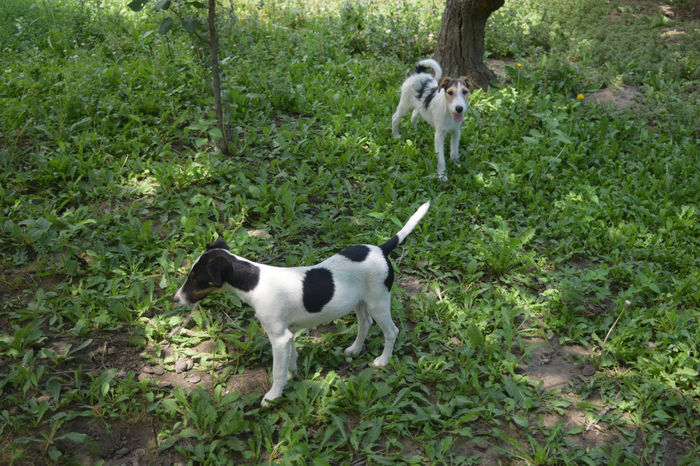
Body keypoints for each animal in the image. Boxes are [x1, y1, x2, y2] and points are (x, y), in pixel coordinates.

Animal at [172, 202, 430, 406]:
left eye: (195, 278)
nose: (175, 299)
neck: (254, 281)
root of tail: (381, 249)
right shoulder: (288, 334)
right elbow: (291, 358)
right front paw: (292, 376)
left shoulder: (278, 337)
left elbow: (277, 370)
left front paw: (273, 396)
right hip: (360, 301)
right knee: (364, 323)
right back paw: (355, 349)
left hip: (378, 301)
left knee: (391, 331)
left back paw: (383, 360)